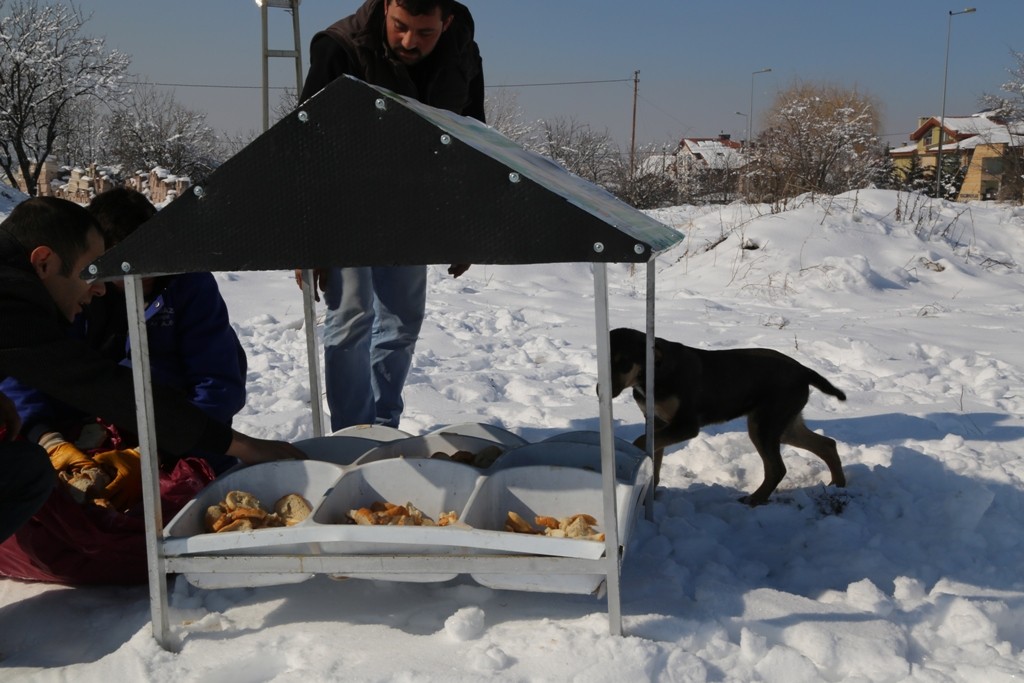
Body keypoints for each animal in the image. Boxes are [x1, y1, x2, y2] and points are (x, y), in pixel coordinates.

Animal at [606, 327, 847, 505]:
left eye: (624, 363)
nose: (603, 391)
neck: (652, 373)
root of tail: (804, 370)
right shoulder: (657, 422)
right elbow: (655, 458)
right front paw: (651, 491)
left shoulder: (686, 425)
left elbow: (640, 443)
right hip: (785, 424)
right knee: (827, 444)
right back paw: (839, 485)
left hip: (764, 424)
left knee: (777, 468)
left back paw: (754, 500)